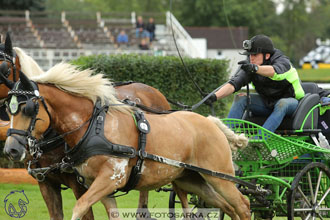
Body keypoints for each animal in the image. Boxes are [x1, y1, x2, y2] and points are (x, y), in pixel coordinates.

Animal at [3, 63, 250, 220]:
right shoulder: (99, 186)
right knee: (228, 207)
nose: (11, 150)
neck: (94, 127)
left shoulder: (110, 179)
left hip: (219, 177)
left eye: (28, 108)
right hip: (193, 180)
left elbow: (80, 208)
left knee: (243, 205)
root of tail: (211, 122)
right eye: (8, 108)